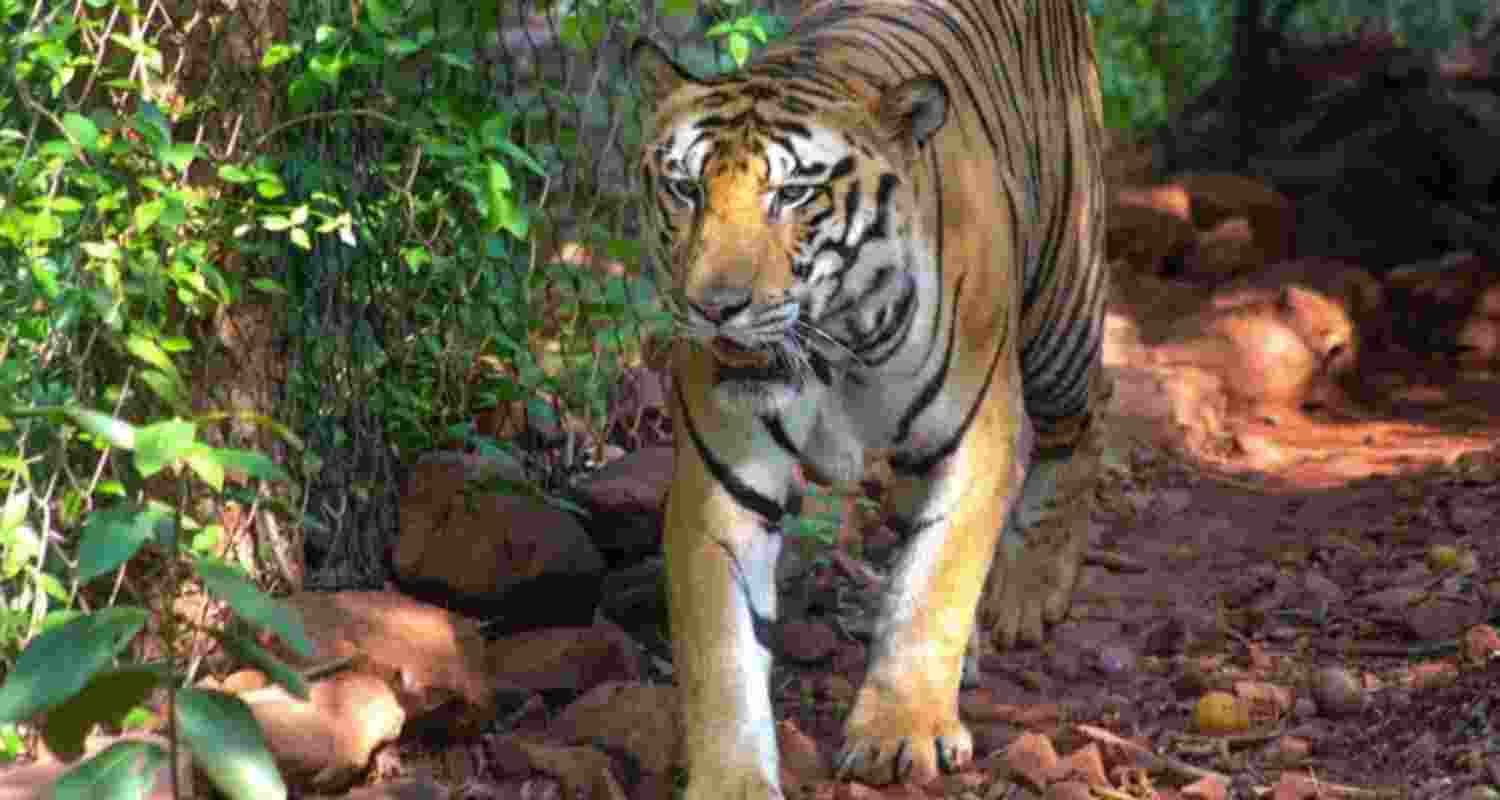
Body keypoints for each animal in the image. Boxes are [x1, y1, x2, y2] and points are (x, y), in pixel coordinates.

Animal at [632, 0, 1108, 794]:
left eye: (791, 195)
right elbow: (721, 655)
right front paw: (732, 778)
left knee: (1089, 414)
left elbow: (933, 587)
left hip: (1062, 308)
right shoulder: (723, 487)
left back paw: (1027, 593)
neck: (834, 349)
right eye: (686, 189)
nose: (714, 307)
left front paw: (900, 731)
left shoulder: (975, 438)